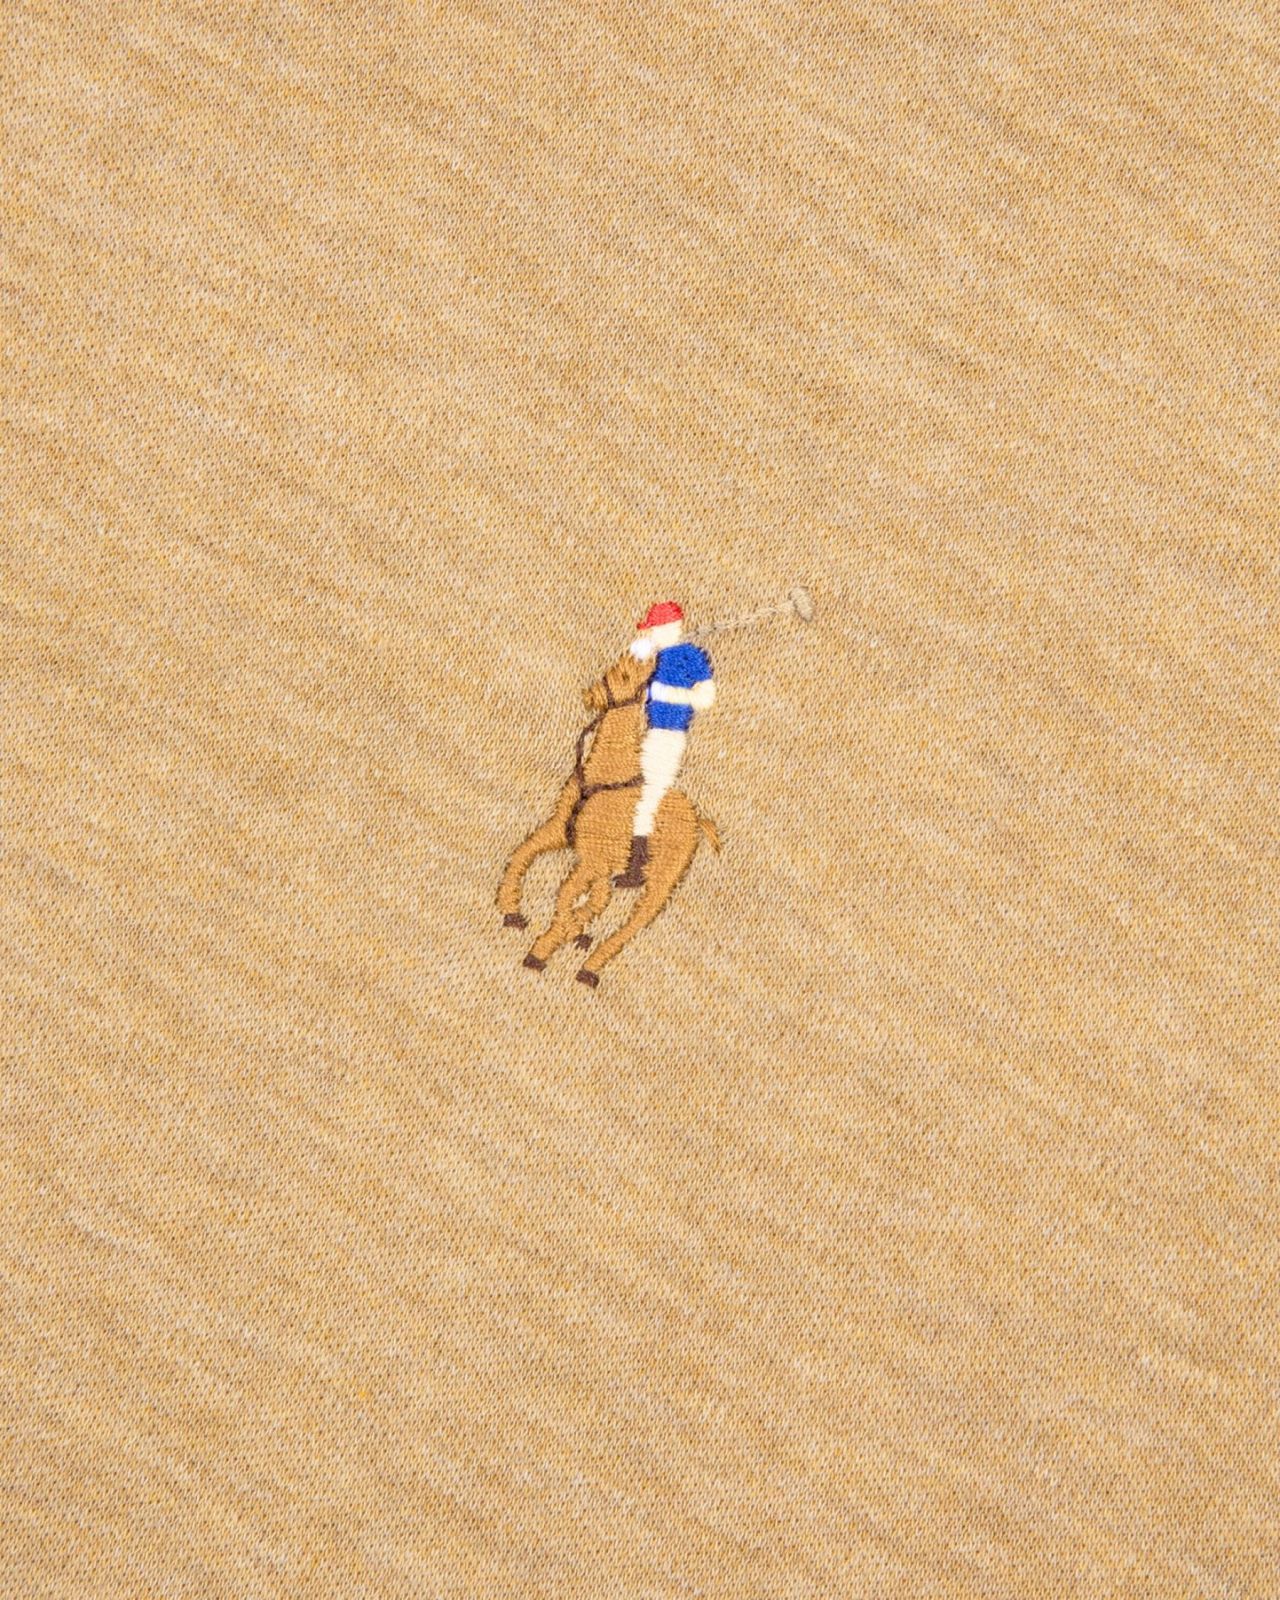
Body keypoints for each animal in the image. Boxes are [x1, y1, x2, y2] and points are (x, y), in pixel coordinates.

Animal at [496, 646, 721, 986]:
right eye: (614, 666)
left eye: (626, 676)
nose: (591, 695)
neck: (607, 772)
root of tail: (697, 819)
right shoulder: (562, 834)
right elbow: (524, 855)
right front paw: (514, 913)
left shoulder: (594, 861)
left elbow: (567, 896)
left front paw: (546, 947)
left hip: (662, 881)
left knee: (634, 923)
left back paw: (589, 968)